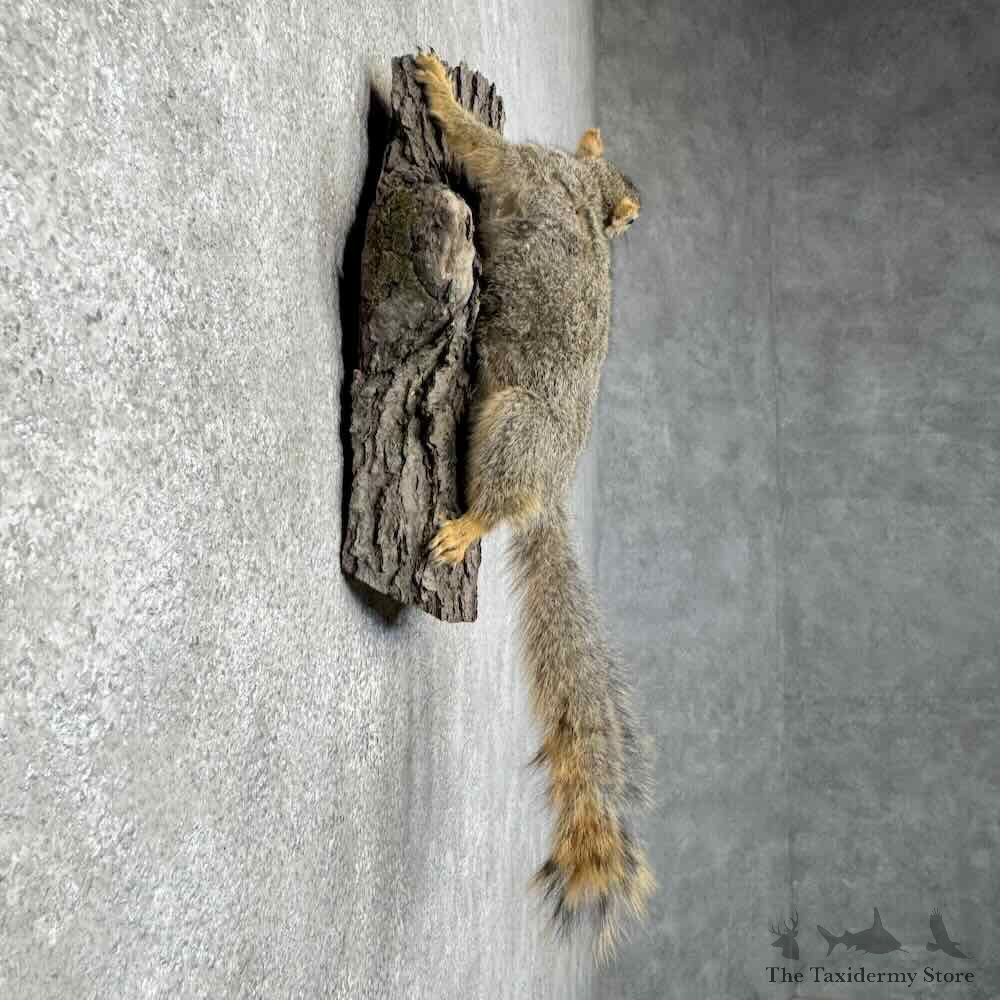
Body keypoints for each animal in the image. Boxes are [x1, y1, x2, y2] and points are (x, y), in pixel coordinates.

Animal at [414, 51, 654, 960]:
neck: (580, 184)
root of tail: (548, 495)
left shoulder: (521, 173)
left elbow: (479, 148)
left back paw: (465, 527)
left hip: (513, 425)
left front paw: (438, 88)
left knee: (498, 500)